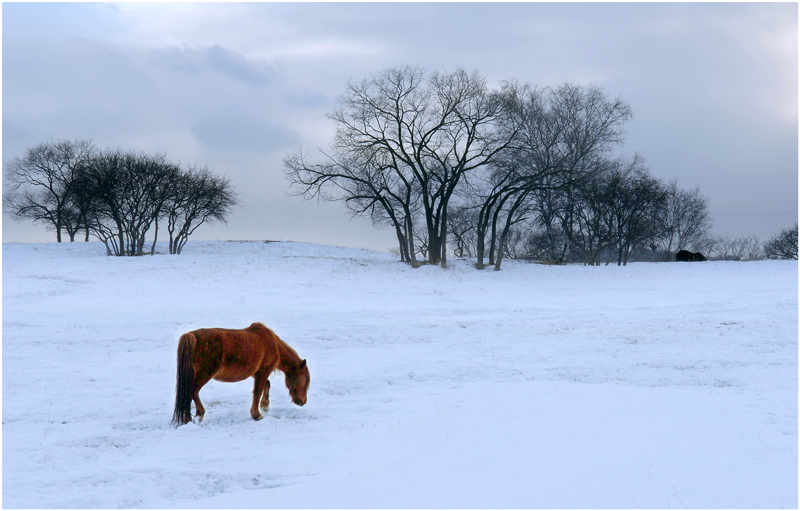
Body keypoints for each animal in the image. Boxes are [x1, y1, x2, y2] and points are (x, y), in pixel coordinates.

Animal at [172, 324, 310, 428]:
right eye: (306, 378)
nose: (303, 402)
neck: (273, 344)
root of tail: (192, 336)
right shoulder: (264, 371)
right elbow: (258, 391)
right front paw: (257, 415)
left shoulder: (257, 373)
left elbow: (266, 385)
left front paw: (264, 406)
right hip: (204, 374)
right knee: (193, 391)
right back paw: (199, 414)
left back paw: (187, 419)